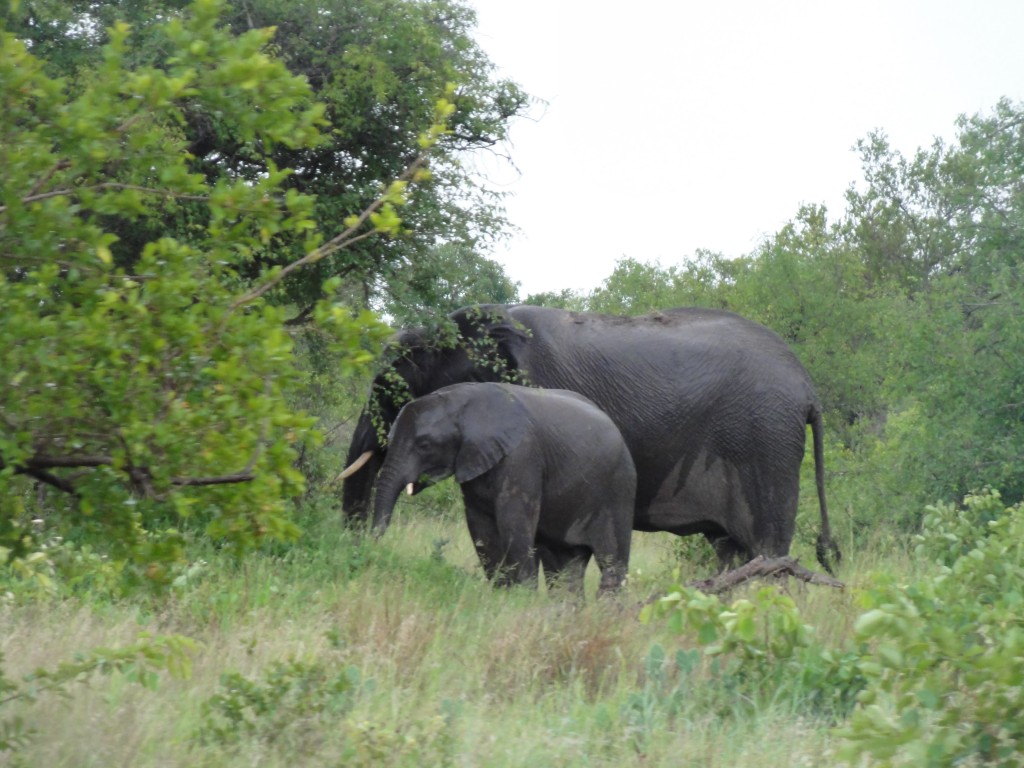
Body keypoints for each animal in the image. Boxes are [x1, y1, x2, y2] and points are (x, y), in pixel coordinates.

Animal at [372, 382, 636, 595]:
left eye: (424, 445)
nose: (372, 543)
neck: (460, 401)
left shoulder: (522, 456)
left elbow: (513, 522)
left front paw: (523, 599)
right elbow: (480, 527)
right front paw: (503, 595)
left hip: (620, 487)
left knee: (612, 563)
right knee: (563, 568)